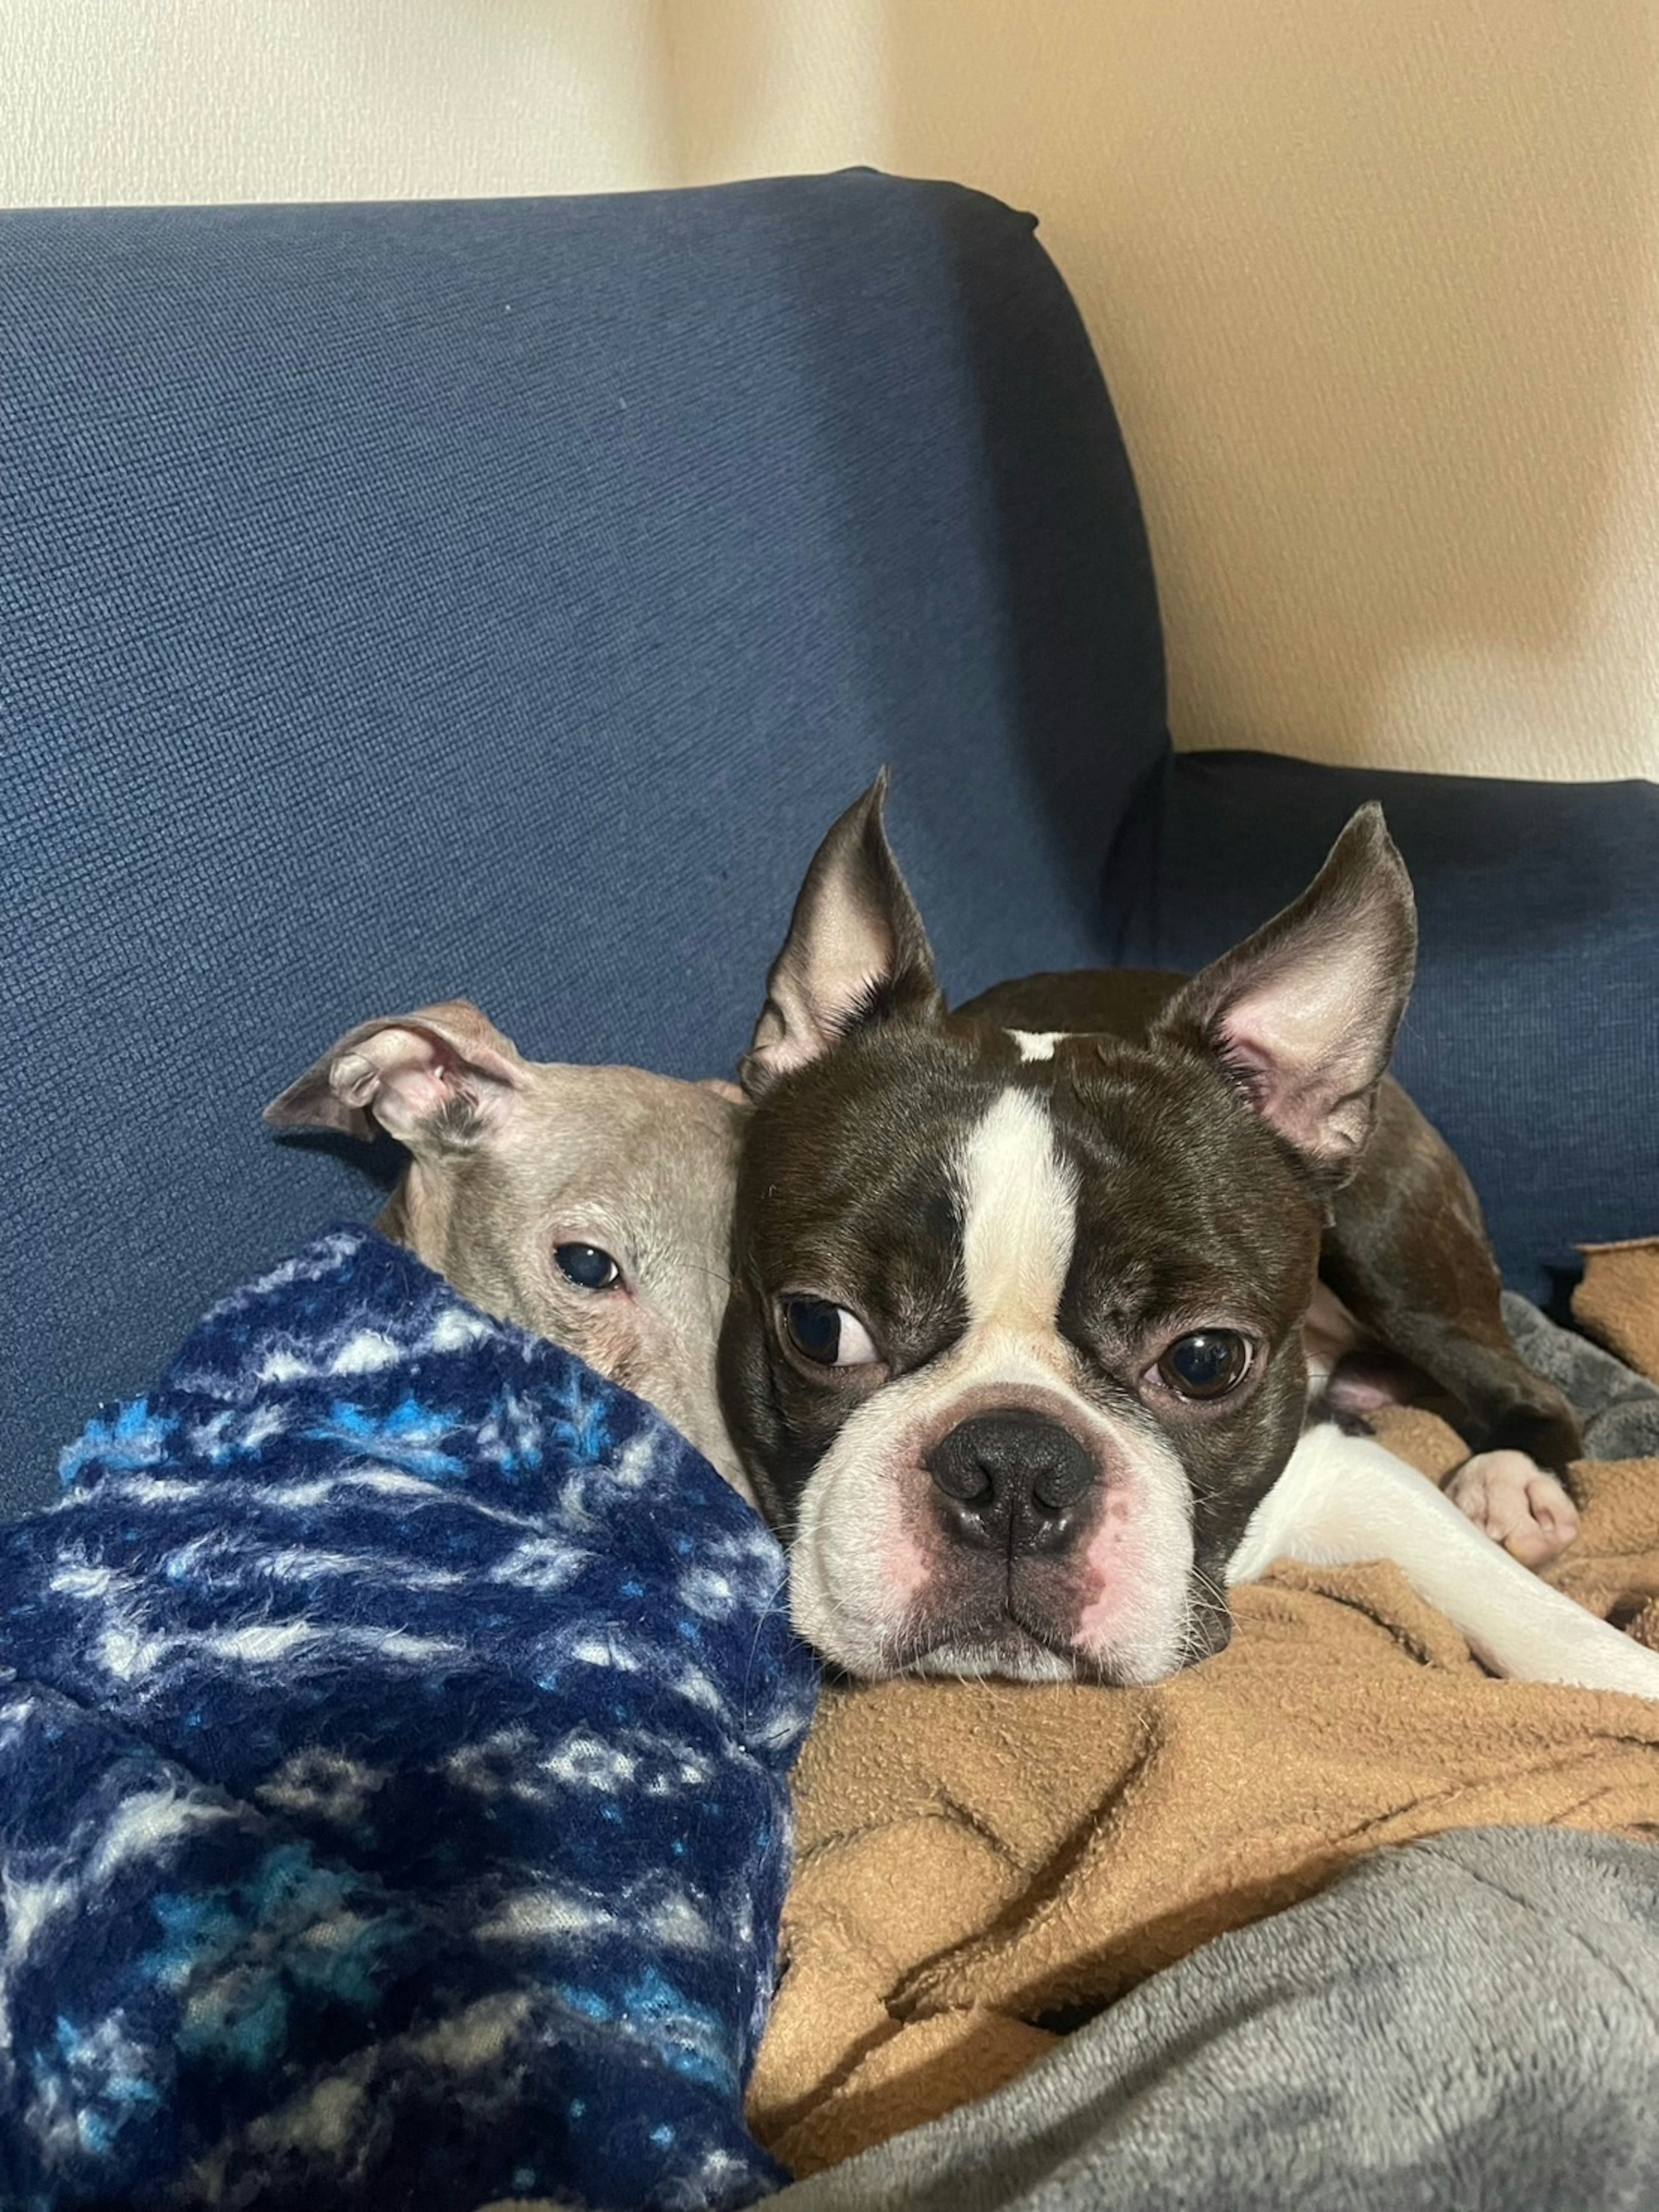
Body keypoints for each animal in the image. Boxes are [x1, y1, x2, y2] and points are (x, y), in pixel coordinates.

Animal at [716, 778, 1659, 1690]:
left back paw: (1513, 1479)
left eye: (1206, 1361)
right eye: (820, 1327)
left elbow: (1543, 1623)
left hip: (1392, 1242)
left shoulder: (1340, 1468)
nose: (1013, 1467)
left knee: (1531, 1383)